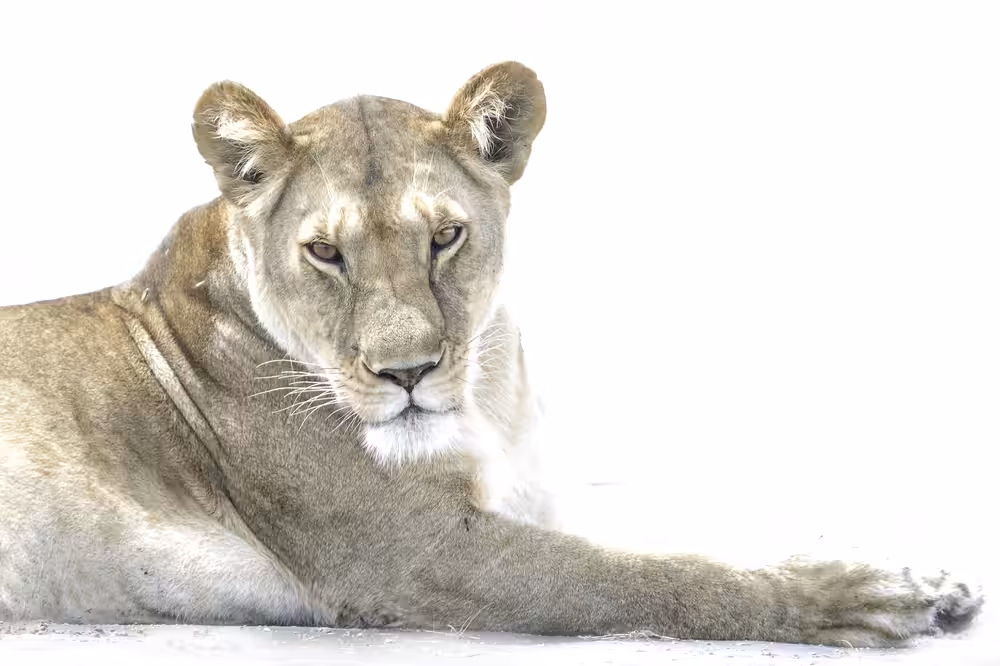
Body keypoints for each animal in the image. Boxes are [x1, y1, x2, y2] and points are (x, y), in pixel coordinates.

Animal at [0, 62, 983, 646]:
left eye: (445, 237)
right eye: (325, 253)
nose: (405, 374)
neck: (489, 395)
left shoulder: (532, 493)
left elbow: (683, 524)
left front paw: (925, 574)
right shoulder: (415, 554)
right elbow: (646, 577)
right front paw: (863, 594)